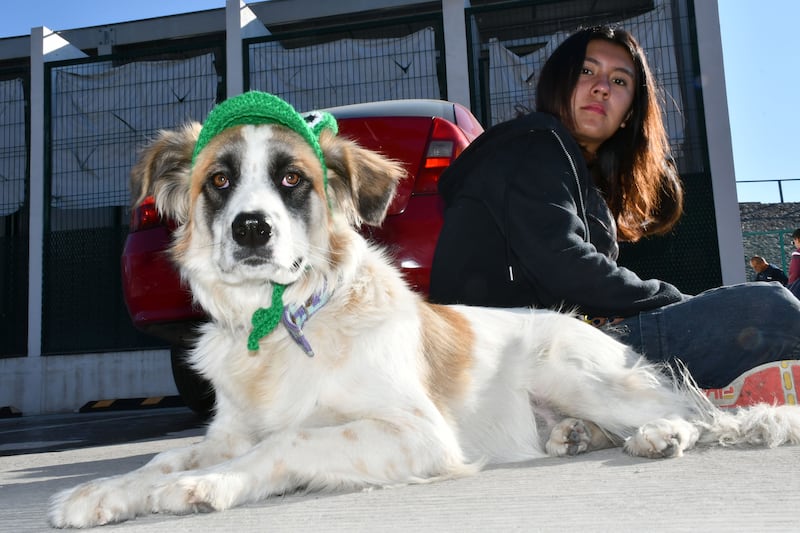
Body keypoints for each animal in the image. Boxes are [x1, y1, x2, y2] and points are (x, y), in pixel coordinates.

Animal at [50, 92, 800, 528]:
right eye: (219, 181)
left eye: (292, 179)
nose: (251, 229)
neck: (287, 324)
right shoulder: (231, 428)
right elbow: (165, 456)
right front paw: (106, 491)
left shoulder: (417, 432)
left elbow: (287, 442)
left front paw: (209, 484)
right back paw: (575, 437)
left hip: (568, 369)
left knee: (689, 414)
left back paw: (658, 436)